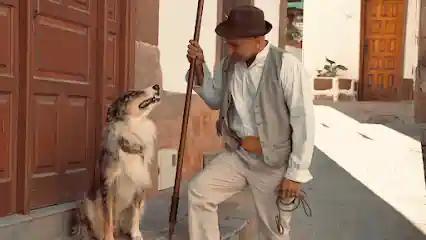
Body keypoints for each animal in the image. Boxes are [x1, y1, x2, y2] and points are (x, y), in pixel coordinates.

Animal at [71, 84, 161, 240]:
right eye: (132, 94)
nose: (157, 86)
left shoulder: (139, 185)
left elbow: (135, 214)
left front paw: (136, 234)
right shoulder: (108, 186)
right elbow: (108, 218)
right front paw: (108, 237)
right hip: (86, 203)